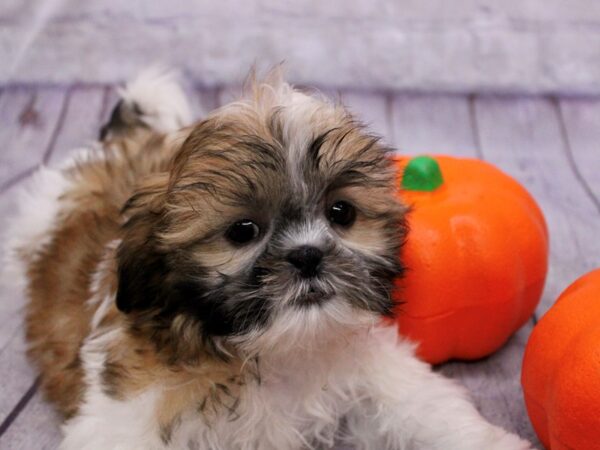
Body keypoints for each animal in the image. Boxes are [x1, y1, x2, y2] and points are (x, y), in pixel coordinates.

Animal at [3, 67, 528, 450]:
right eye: (243, 231)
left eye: (341, 212)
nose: (308, 256)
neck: (273, 351)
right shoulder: (130, 413)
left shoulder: (375, 372)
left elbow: (423, 406)